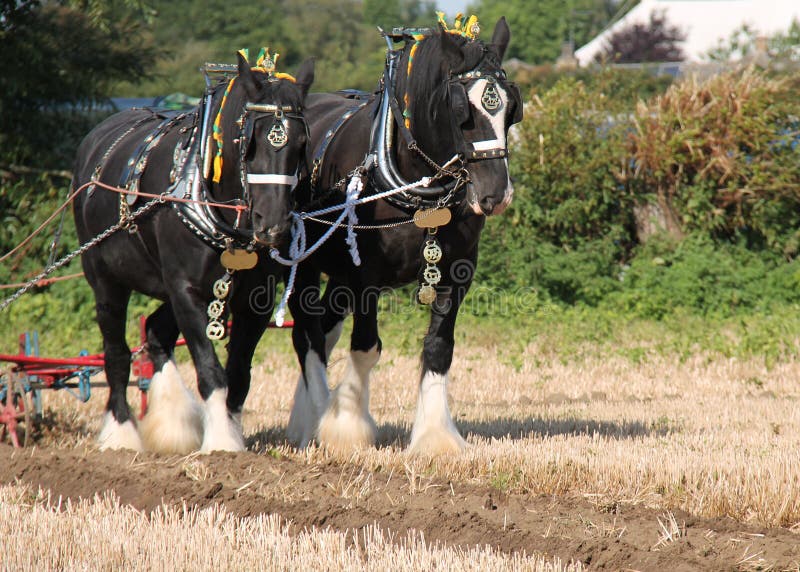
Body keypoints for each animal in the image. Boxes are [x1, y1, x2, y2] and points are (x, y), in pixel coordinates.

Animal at [72, 54, 314, 456]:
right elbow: (210, 370)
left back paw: (171, 425)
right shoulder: (185, 290)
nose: (273, 226)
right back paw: (120, 433)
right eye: (249, 141)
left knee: (157, 332)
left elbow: (239, 373)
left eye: (301, 143)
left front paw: (230, 430)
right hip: (106, 281)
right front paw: (221, 443)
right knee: (116, 354)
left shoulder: (256, 299)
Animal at [284, 19, 520, 456]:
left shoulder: (457, 272)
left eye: (512, 108)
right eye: (461, 111)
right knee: (307, 335)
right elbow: (366, 346)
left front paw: (436, 438)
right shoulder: (364, 276)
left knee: (324, 328)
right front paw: (346, 428)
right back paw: (313, 420)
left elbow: (439, 348)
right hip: (304, 265)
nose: (496, 195)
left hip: (337, 276)